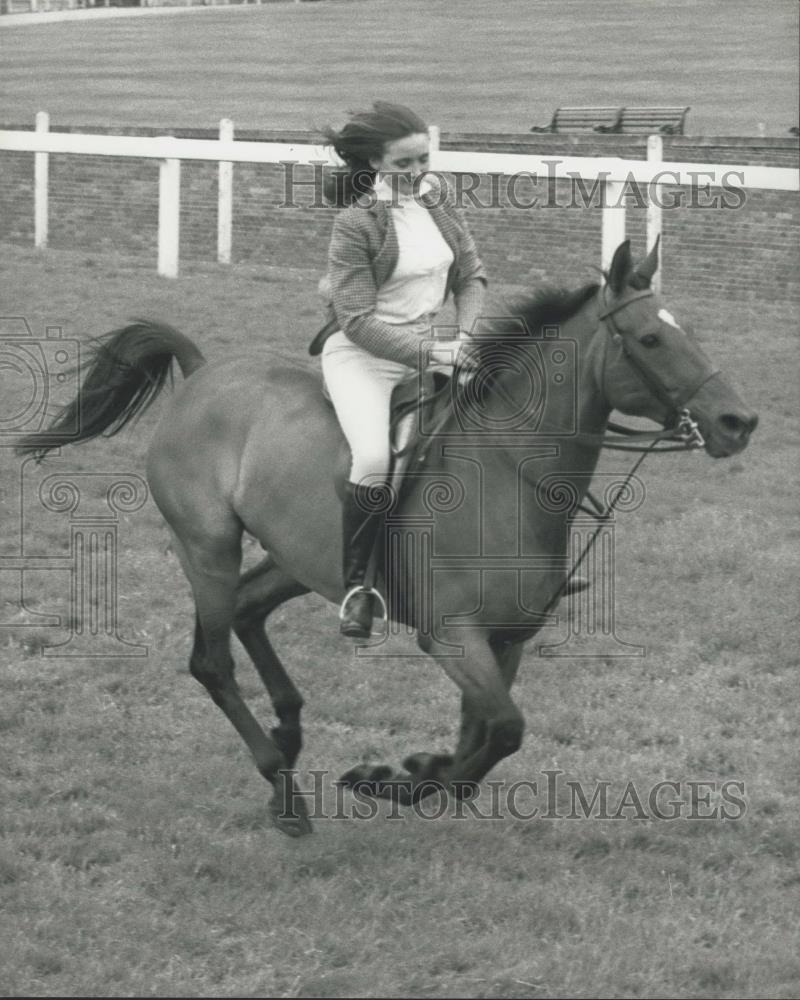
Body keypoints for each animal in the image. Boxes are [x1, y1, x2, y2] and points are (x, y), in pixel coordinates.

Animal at [15, 240, 760, 836]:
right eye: (650, 339)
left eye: (688, 330)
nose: (738, 421)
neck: (509, 472)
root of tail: (202, 374)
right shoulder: (452, 636)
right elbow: (503, 731)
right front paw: (387, 780)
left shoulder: (508, 641)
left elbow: (483, 740)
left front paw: (414, 769)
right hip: (208, 548)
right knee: (212, 661)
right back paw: (284, 788)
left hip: (300, 558)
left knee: (253, 611)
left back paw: (290, 736)